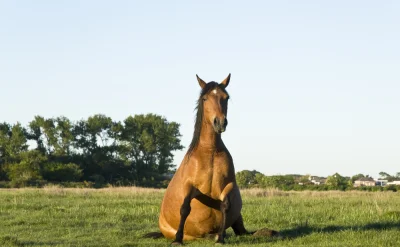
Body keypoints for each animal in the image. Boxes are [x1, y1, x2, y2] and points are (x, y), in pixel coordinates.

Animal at [157, 73, 248, 243]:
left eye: (226, 97)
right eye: (205, 98)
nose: (220, 122)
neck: (210, 151)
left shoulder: (229, 184)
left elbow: (225, 205)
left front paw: (221, 238)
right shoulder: (190, 186)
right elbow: (185, 208)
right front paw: (177, 240)